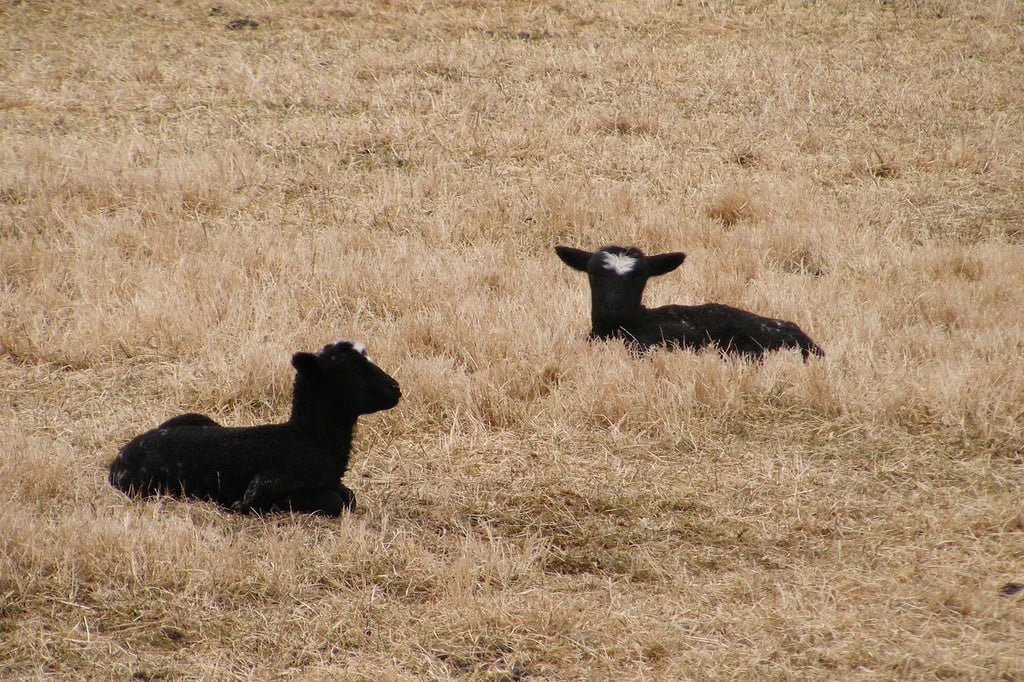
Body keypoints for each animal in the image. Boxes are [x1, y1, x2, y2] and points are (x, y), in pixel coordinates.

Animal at [108, 340, 401, 516]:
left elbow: (348, 495)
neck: (307, 440)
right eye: (351, 370)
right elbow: (338, 501)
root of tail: (118, 461)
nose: (396, 388)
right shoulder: (263, 487)